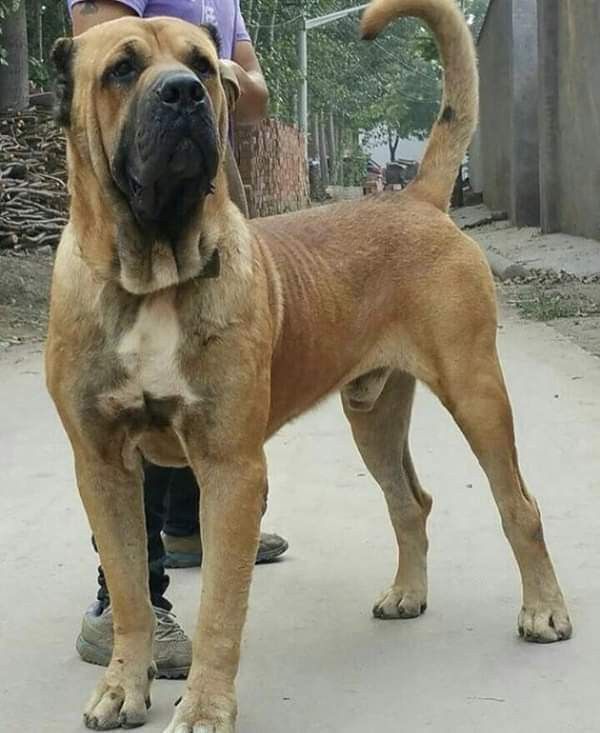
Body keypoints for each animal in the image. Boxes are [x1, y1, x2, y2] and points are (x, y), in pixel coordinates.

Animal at [47, 0, 572, 728]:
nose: (185, 93)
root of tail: (416, 197)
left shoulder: (232, 470)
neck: (152, 277)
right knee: (410, 501)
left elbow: (220, 607)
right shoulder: (103, 467)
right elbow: (129, 589)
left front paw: (205, 706)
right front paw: (124, 684)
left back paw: (544, 609)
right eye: (121, 70)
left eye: (203, 64)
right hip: (374, 413)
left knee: (517, 502)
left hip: (476, 392)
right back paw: (407, 593)